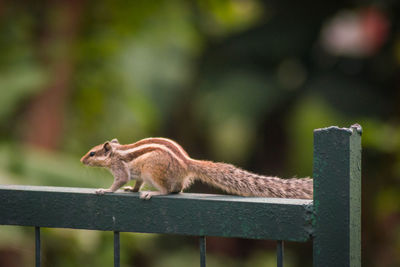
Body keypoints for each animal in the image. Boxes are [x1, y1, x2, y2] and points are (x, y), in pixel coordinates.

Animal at [80, 139, 312, 200]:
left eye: (92, 153)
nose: (82, 160)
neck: (116, 153)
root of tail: (186, 163)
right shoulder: (138, 175)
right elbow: (136, 182)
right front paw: (132, 189)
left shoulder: (121, 169)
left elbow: (119, 181)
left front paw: (105, 190)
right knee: (177, 190)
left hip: (153, 170)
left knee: (167, 190)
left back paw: (153, 193)